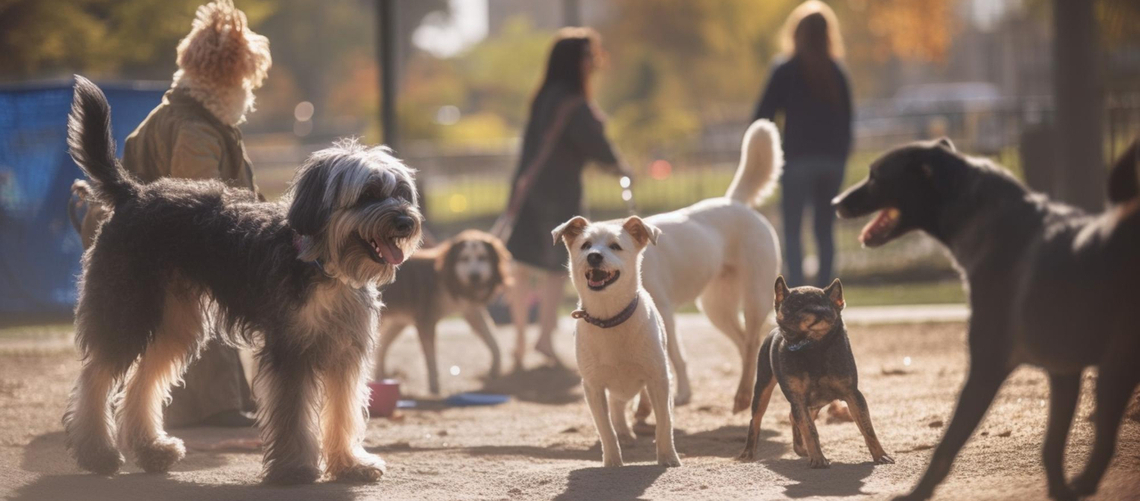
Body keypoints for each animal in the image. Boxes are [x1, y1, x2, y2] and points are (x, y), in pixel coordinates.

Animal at [554, 215, 679, 470]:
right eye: (585, 245)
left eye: (615, 246)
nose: (594, 256)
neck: (609, 319)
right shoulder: (593, 387)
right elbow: (605, 427)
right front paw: (612, 461)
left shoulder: (658, 379)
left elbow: (665, 422)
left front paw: (668, 457)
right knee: (616, 407)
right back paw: (624, 432)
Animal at [642, 119, 784, 413]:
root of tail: (734, 201)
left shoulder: (664, 312)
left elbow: (676, 356)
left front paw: (683, 394)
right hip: (716, 308)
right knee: (745, 344)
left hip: (755, 297)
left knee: (751, 341)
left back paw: (743, 395)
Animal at [738, 276, 889, 467]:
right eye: (796, 304)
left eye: (823, 304)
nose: (818, 312)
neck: (814, 346)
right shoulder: (798, 399)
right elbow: (810, 430)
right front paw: (818, 459)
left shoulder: (853, 394)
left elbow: (867, 427)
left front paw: (880, 455)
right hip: (763, 390)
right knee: (756, 420)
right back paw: (748, 452)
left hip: (815, 405)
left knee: (792, 417)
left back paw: (800, 448)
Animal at [829, 137, 1140, 501]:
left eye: (876, 175)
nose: (835, 202)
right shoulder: (1062, 370)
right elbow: (1051, 448)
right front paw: (1061, 491)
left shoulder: (986, 368)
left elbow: (946, 446)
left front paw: (917, 492)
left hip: (1116, 365)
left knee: (1105, 439)